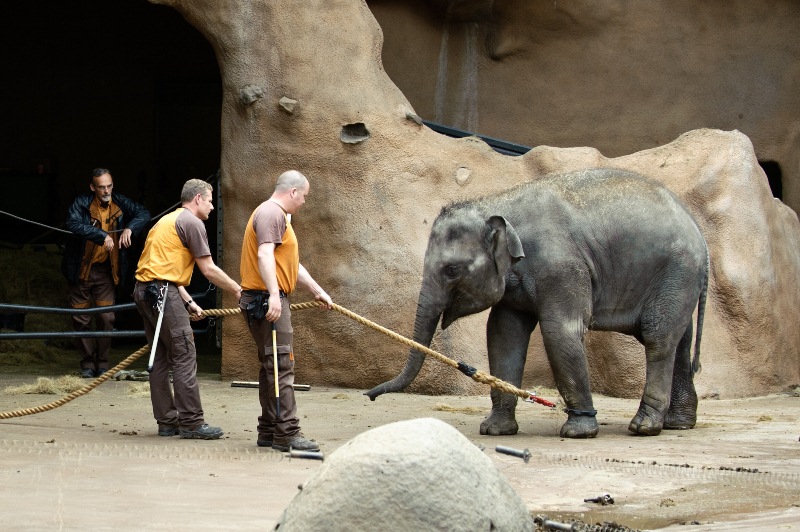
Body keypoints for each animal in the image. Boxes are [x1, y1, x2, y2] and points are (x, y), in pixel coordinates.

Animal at [366, 168, 708, 438]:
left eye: (451, 270)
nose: (370, 396)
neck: (497, 202)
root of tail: (699, 232)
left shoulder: (561, 267)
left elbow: (560, 332)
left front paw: (578, 432)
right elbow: (503, 335)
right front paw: (495, 430)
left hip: (677, 272)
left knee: (658, 337)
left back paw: (644, 426)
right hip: (679, 281)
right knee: (680, 340)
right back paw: (678, 424)